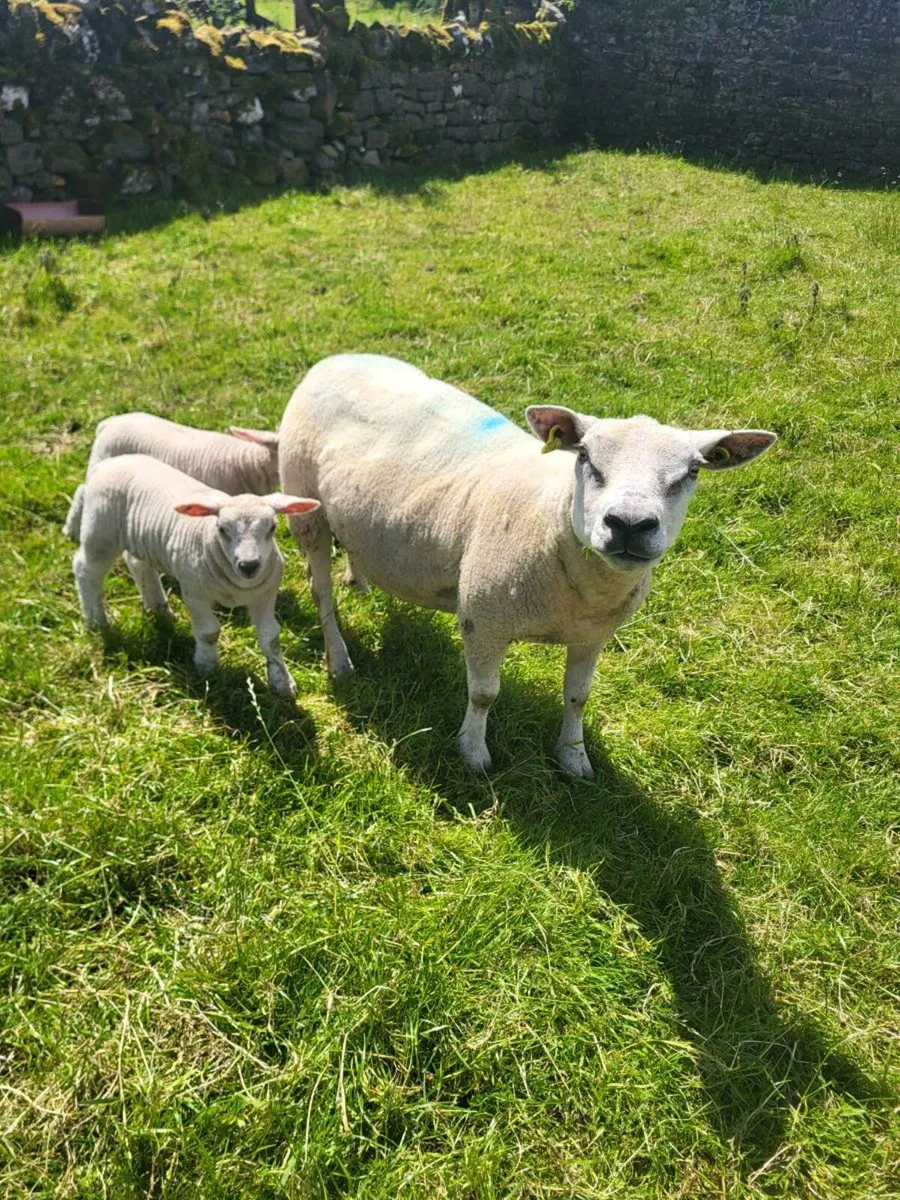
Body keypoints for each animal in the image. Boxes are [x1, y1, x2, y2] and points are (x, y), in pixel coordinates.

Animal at [65, 454, 319, 697]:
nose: (249, 565)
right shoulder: (195, 594)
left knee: (138, 564)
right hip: (100, 532)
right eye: (222, 529)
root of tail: (107, 464)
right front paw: (207, 668)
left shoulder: (264, 596)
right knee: (86, 570)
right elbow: (209, 632)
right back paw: (96, 622)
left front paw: (282, 682)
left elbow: (271, 637)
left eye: (272, 528)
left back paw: (159, 609)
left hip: (138, 538)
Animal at [278, 353, 777, 777]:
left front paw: (573, 757)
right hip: (306, 506)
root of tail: (335, 359)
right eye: (585, 457)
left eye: (691, 472)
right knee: (320, 592)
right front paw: (473, 754)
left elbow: (578, 698)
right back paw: (339, 659)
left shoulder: (593, 634)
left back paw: (359, 580)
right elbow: (483, 694)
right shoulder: (484, 617)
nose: (629, 524)